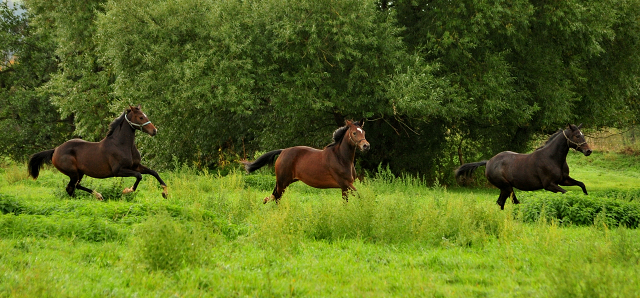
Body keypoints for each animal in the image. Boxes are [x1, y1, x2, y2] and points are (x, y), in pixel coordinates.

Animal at [28, 105, 168, 200]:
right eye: (140, 117)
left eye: (146, 115)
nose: (154, 131)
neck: (122, 145)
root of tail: (55, 150)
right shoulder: (118, 170)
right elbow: (139, 176)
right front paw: (126, 191)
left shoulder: (136, 166)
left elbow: (153, 172)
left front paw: (165, 192)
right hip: (73, 173)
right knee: (71, 187)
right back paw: (94, 197)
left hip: (79, 173)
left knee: (74, 187)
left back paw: (96, 196)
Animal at [241, 120, 370, 204]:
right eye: (354, 133)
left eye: (363, 132)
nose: (366, 146)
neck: (341, 158)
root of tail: (283, 151)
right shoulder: (344, 183)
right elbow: (360, 195)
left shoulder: (345, 187)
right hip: (283, 182)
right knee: (277, 197)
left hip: (285, 181)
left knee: (273, 196)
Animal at [452, 123, 592, 210]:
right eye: (577, 136)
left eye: (583, 135)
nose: (589, 151)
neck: (552, 158)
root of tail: (488, 162)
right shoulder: (549, 185)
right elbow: (566, 193)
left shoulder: (564, 180)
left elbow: (582, 184)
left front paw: (587, 199)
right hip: (507, 187)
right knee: (511, 202)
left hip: (505, 188)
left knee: (501, 202)